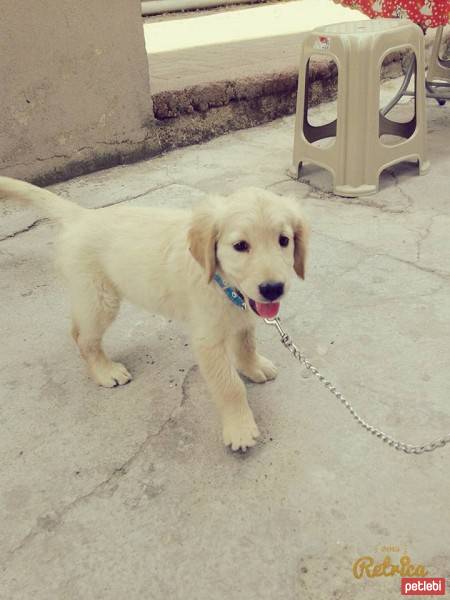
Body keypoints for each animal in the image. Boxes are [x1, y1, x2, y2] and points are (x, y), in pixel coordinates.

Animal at [0, 178, 308, 450]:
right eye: (240, 246)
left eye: (283, 240)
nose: (273, 289)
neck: (223, 284)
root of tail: (82, 215)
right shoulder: (207, 339)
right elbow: (229, 385)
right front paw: (240, 428)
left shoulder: (242, 317)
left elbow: (246, 346)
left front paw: (253, 367)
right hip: (101, 300)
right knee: (86, 339)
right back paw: (105, 371)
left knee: (76, 330)